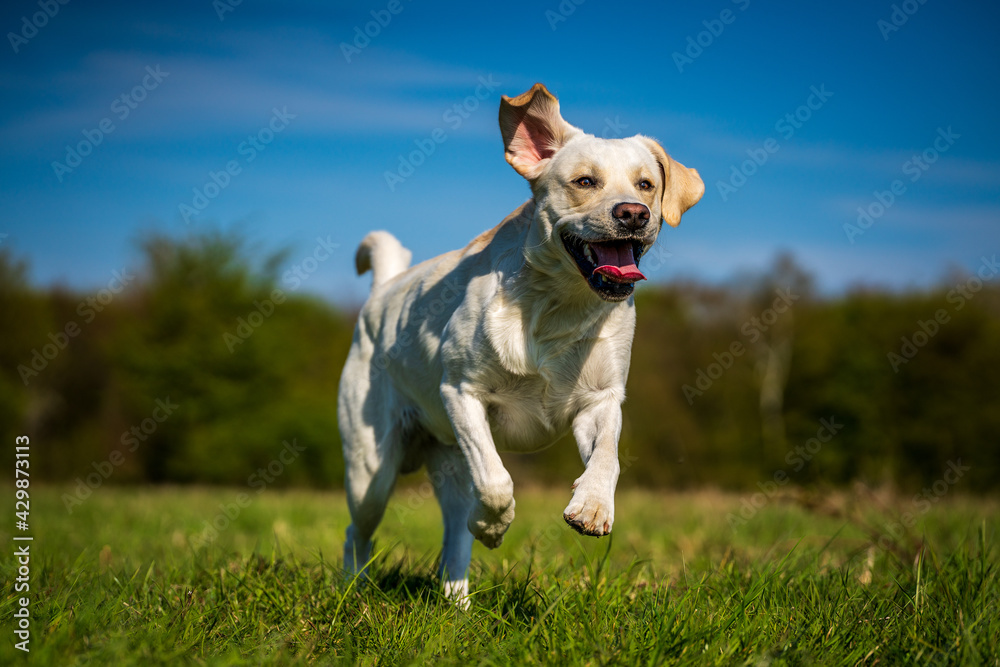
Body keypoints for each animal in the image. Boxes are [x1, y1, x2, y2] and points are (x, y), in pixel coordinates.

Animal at [338, 83, 704, 604]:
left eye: (646, 185)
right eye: (585, 181)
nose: (634, 214)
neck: (559, 305)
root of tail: (382, 291)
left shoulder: (601, 400)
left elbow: (608, 456)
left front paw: (593, 506)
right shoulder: (463, 394)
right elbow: (497, 482)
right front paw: (495, 528)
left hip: (447, 463)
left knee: (455, 533)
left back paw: (458, 602)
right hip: (371, 468)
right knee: (360, 531)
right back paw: (354, 588)